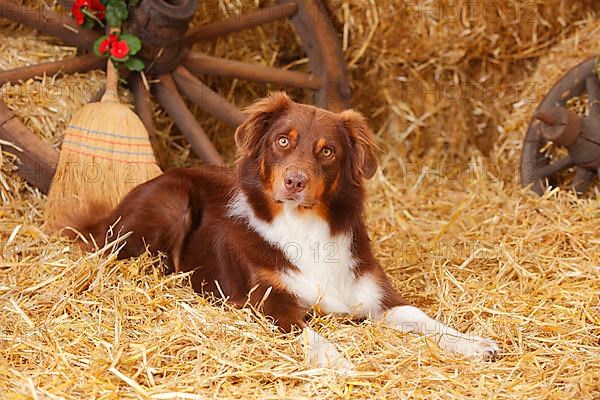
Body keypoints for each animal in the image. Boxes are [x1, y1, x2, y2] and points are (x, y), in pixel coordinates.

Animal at [82, 93, 500, 372]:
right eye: (283, 140)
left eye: (328, 151)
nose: (295, 182)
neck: (305, 225)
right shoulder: (269, 302)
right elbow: (308, 332)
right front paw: (334, 358)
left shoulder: (378, 296)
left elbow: (420, 316)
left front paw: (472, 342)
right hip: (172, 203)